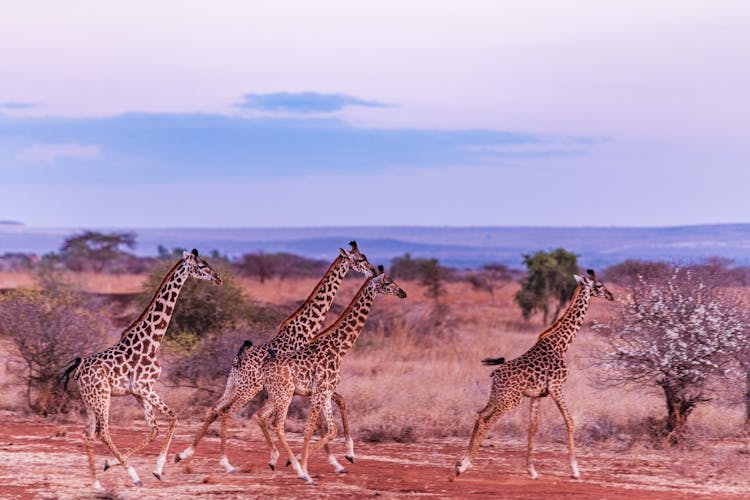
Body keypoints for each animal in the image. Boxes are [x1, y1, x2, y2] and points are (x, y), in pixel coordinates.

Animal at [60, 250, 222, 488]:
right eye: (201, 265)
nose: (218, 278)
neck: (153, 342)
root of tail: (79, 370)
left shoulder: (138, 392)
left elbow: (154, 429)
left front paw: (113, 464)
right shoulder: (144, 387)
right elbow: (173, 418)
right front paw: (157, 469)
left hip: (89, 401)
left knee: (87, 433)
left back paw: (96, 483)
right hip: (102, 397)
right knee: (103, 432)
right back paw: (134, 476)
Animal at [176, 242, 376, 472]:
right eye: (360, 259)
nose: (373, 271)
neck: (304, 330)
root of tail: (237, 361)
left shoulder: (304, 388)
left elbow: (331, 408)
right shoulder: (308, 387)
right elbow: (317, 418)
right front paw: (330, 458)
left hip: (234, 385)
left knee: (214, 409)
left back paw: (184, 454)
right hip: (250, 389)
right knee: (227, 412)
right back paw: (223, 460)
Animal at [260, 270, 412, 484]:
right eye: (388, 282)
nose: (403, 293)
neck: (339, 348)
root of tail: (265, 369)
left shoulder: (325, 392)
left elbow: (332, 429)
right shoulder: (320, 392)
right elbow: (310, 429)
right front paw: (305, 470)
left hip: (277, 395)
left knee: (262, 416)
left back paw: (278, 461)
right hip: (285, 395)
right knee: (276, 424)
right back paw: (297, 468)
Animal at [456, 270, 612, 480]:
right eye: (599, 285)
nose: (611, 296)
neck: (561, 344)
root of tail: (496, 373)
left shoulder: (537, 395)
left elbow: (532, 428)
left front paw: (531, 470)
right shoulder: (556, 387)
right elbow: (570, 421)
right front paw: (575, 470)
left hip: (498, 396)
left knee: (480, 415)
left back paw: (462, 462)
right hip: (511, 400)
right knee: (487, 421)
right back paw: (464, 466)